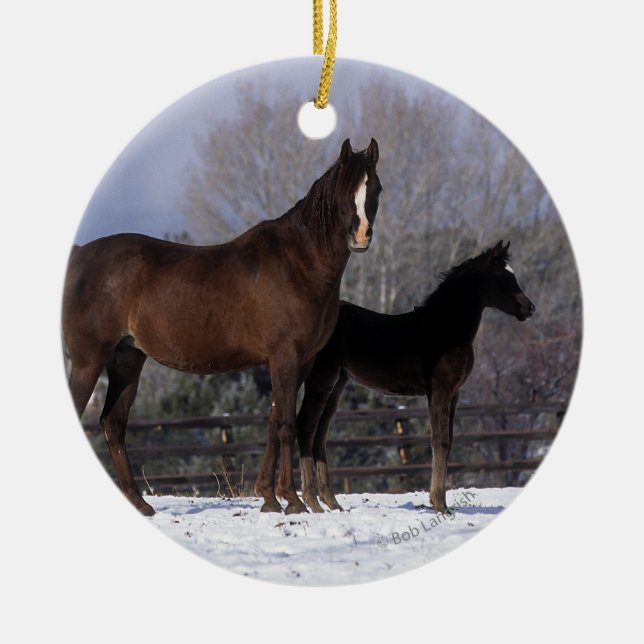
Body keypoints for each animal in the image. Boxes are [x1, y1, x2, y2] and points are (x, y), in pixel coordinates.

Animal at [63, 138, 381, 516]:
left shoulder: (300, 360)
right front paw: (292, 500)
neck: (298, 263)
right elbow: (286, 424)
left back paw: (140, 503)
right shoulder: (285, 356)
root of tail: (81, 255)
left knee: (114, 424)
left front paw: (269, 498)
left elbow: (273, 421)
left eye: (375, 188)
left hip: (127, 360)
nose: (361, 236)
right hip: (88, 361)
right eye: (345, 189)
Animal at [296, 241, 535, 514]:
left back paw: (332, 502)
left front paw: (438, 501)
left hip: (338, 384)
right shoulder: (439, 390)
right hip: (321, 378)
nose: (529, 308)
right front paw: (440, 504)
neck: (445, 330)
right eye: (503, 277)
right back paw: (312, 502)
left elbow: (449, 441)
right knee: (305, 426)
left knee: (321, 434)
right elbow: (440, 442)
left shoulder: (455, 393)